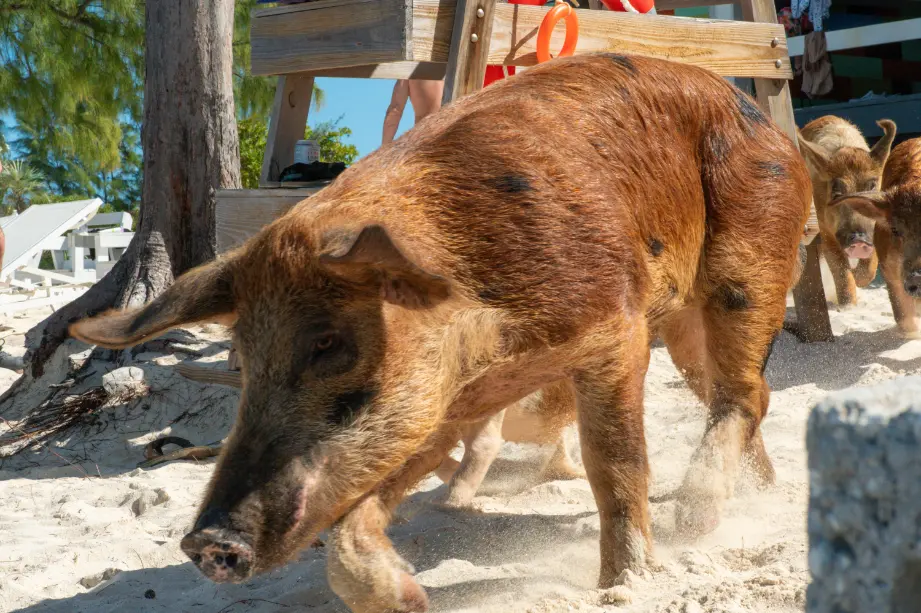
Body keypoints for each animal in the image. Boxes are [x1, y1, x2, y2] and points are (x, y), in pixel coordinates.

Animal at [69, 54, 811, 612]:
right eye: (244, 359)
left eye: (327, 344)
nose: (206, 542)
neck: (494, 343)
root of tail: (767, 123)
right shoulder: (435, 411)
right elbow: (352, 520)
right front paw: (410, 598)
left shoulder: (614, 327)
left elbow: (616, 464)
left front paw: (622, 585)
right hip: (685, 324)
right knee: (748, 395)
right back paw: (751, 498)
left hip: (749, 260)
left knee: (741, 391)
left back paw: (694, 518)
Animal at [797, 116, 897, 306]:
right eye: (837, 193)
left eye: (871, 187)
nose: (859, 239)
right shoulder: (825, 229)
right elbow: (841, 271)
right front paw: (847, 306)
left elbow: (870, 267)